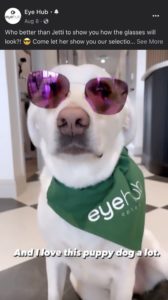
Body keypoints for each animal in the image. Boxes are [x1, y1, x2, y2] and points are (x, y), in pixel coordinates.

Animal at [27, 64, 168, 298]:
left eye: (103, 92)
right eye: (50, 89)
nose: (72, 121)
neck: (80, 188)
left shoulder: (122, 277)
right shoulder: (54, 260)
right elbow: (54, 291)